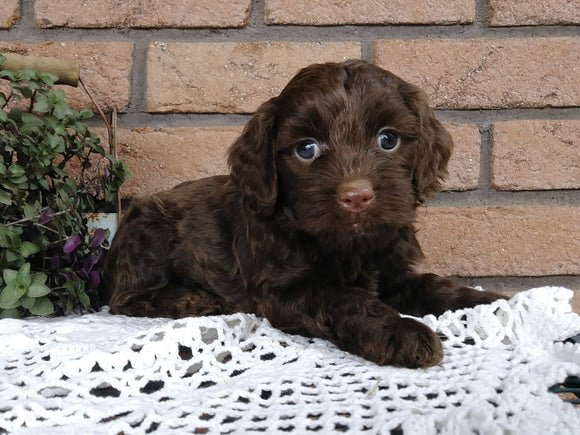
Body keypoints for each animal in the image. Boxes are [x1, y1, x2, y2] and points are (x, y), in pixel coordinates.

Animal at [103, 60, 502, 368]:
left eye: (388, 139)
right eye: (306, 149)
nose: (356, 197)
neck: (349, 246)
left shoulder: (392, 271)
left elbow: (430, 283)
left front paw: (489, 303)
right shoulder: (283, 290)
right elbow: (344, 297)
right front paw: (401, 332)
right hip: (147, 232)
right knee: (124, 298)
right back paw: (195, 300)